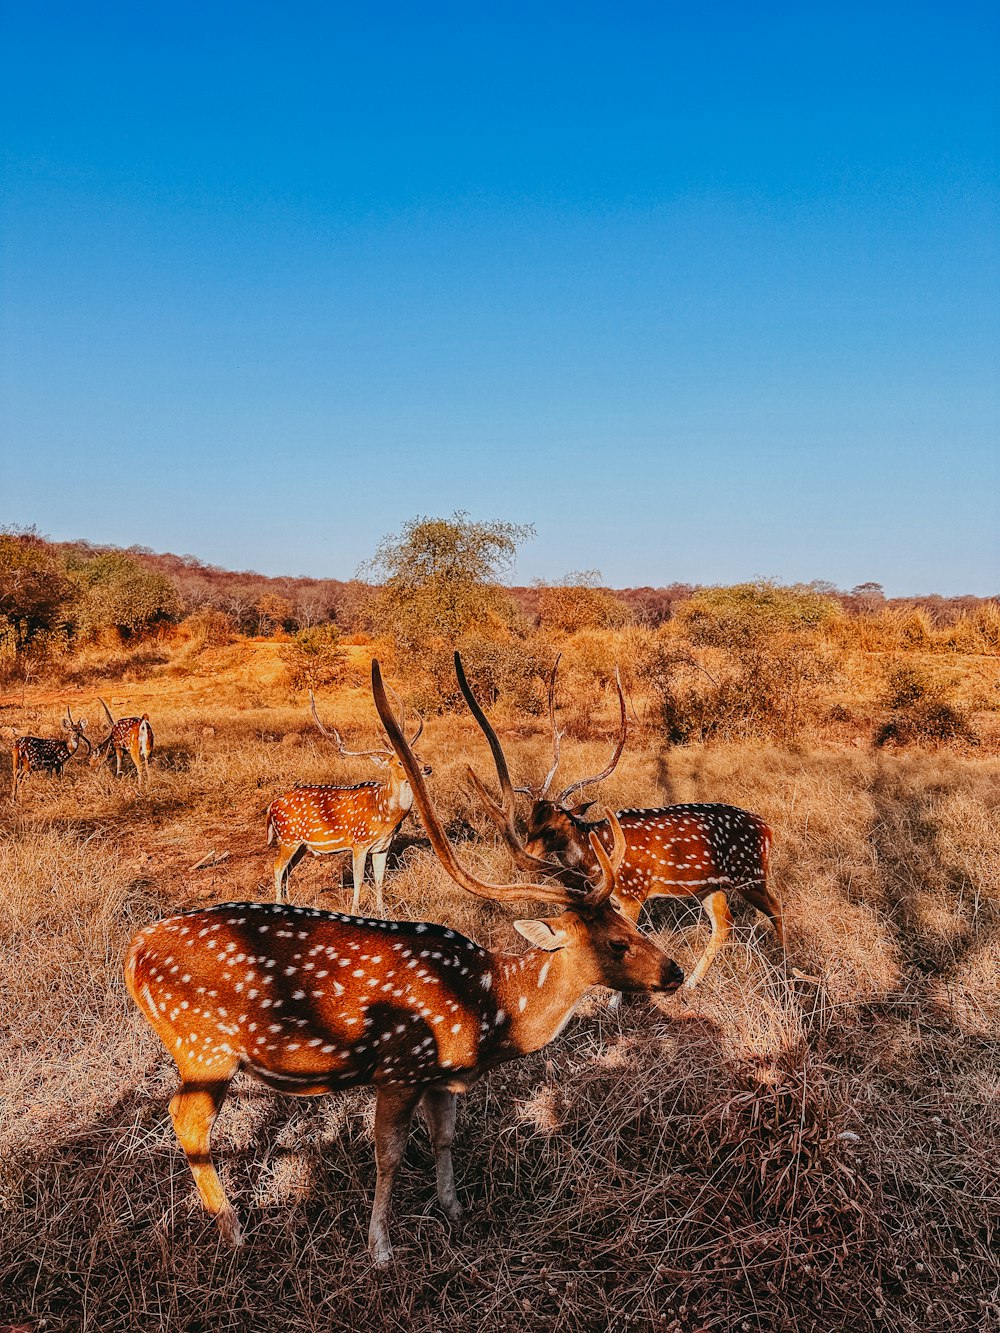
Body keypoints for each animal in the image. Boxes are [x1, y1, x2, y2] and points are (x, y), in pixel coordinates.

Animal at [268, 687, 432, 917]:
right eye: (401, 762)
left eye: (416, 754)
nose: (427, 768)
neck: (385, 813)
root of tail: (271, 806)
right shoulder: (359, 842)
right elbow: (359, 880)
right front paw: (355, 911)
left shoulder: (383, 846)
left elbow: (379, 880)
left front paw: (382, 912)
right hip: (288, 837)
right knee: (277, 867)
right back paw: (279, 904)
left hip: (300, 845)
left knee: (288, 870)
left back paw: (290, 901)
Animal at [458, 655, 789, 991]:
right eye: (528, 824)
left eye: (551, 828)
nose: (524, 859)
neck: (596, 856)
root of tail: (768, 829)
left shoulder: (634, 891)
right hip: (711, 885)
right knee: (724, 924)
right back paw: (693, 984)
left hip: (750, 875)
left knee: (776, 908)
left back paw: (786, 970)